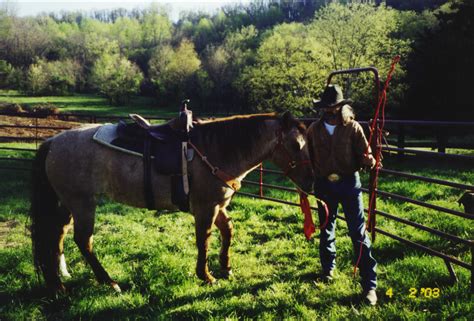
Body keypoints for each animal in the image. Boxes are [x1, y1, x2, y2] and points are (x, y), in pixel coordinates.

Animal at [29, 110, 314, 292]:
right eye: (295, 145)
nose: (311, 182)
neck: (216, 150)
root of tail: (52, 142)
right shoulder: (205, 208)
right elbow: (204, 239)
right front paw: (206, 276)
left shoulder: (218, 206)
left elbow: (228, 231)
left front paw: (226, 267)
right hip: (82, 203)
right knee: (83, 241)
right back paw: (108, 282)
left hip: (67, 204)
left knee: (57, 236)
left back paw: (59, 281)